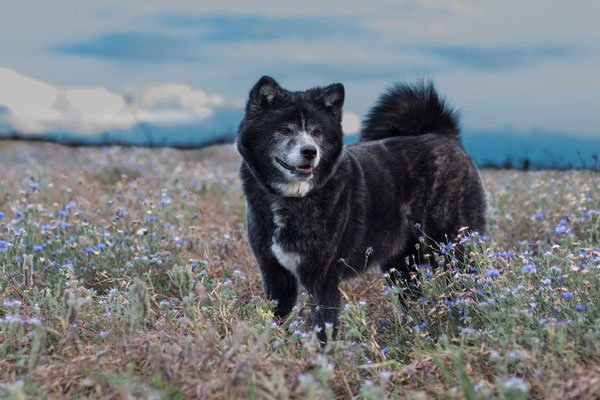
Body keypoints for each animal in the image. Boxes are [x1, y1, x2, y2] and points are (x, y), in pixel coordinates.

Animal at [236, 75, 488, 340]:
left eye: (316, 132)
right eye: (284, 129)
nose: (310, 151)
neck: (293, 199)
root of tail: (443, 135)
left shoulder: (323, 278)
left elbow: (325, 327)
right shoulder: (275, 275)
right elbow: (276, 317)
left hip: (452, 247)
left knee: (471, 282)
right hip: (401, 265)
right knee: (412, 297)